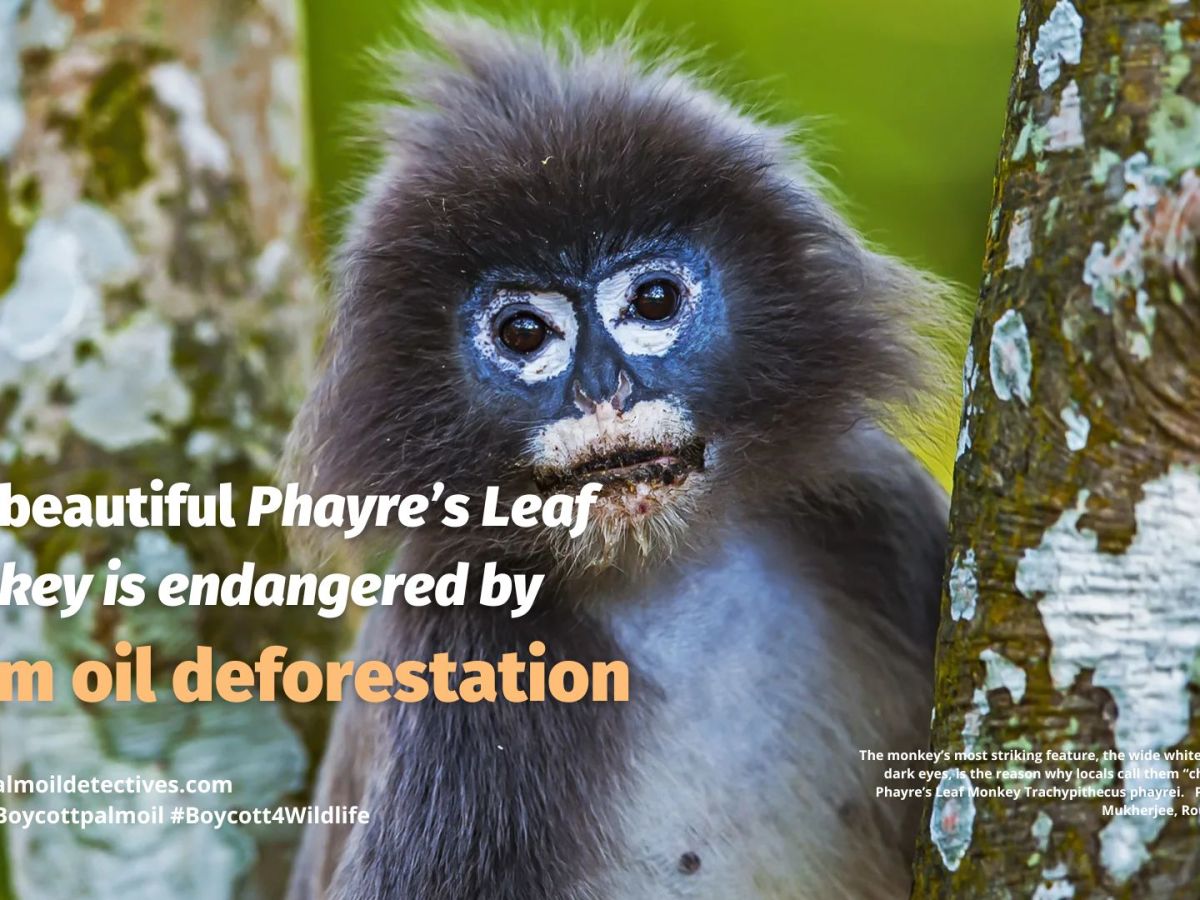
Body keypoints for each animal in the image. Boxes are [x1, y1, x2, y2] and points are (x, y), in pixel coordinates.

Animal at [285, 11, 956, 900]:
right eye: (524, 332)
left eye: (654, 300)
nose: (605, 390)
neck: (667, 580)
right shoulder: (459, 650)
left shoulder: (875, 501)